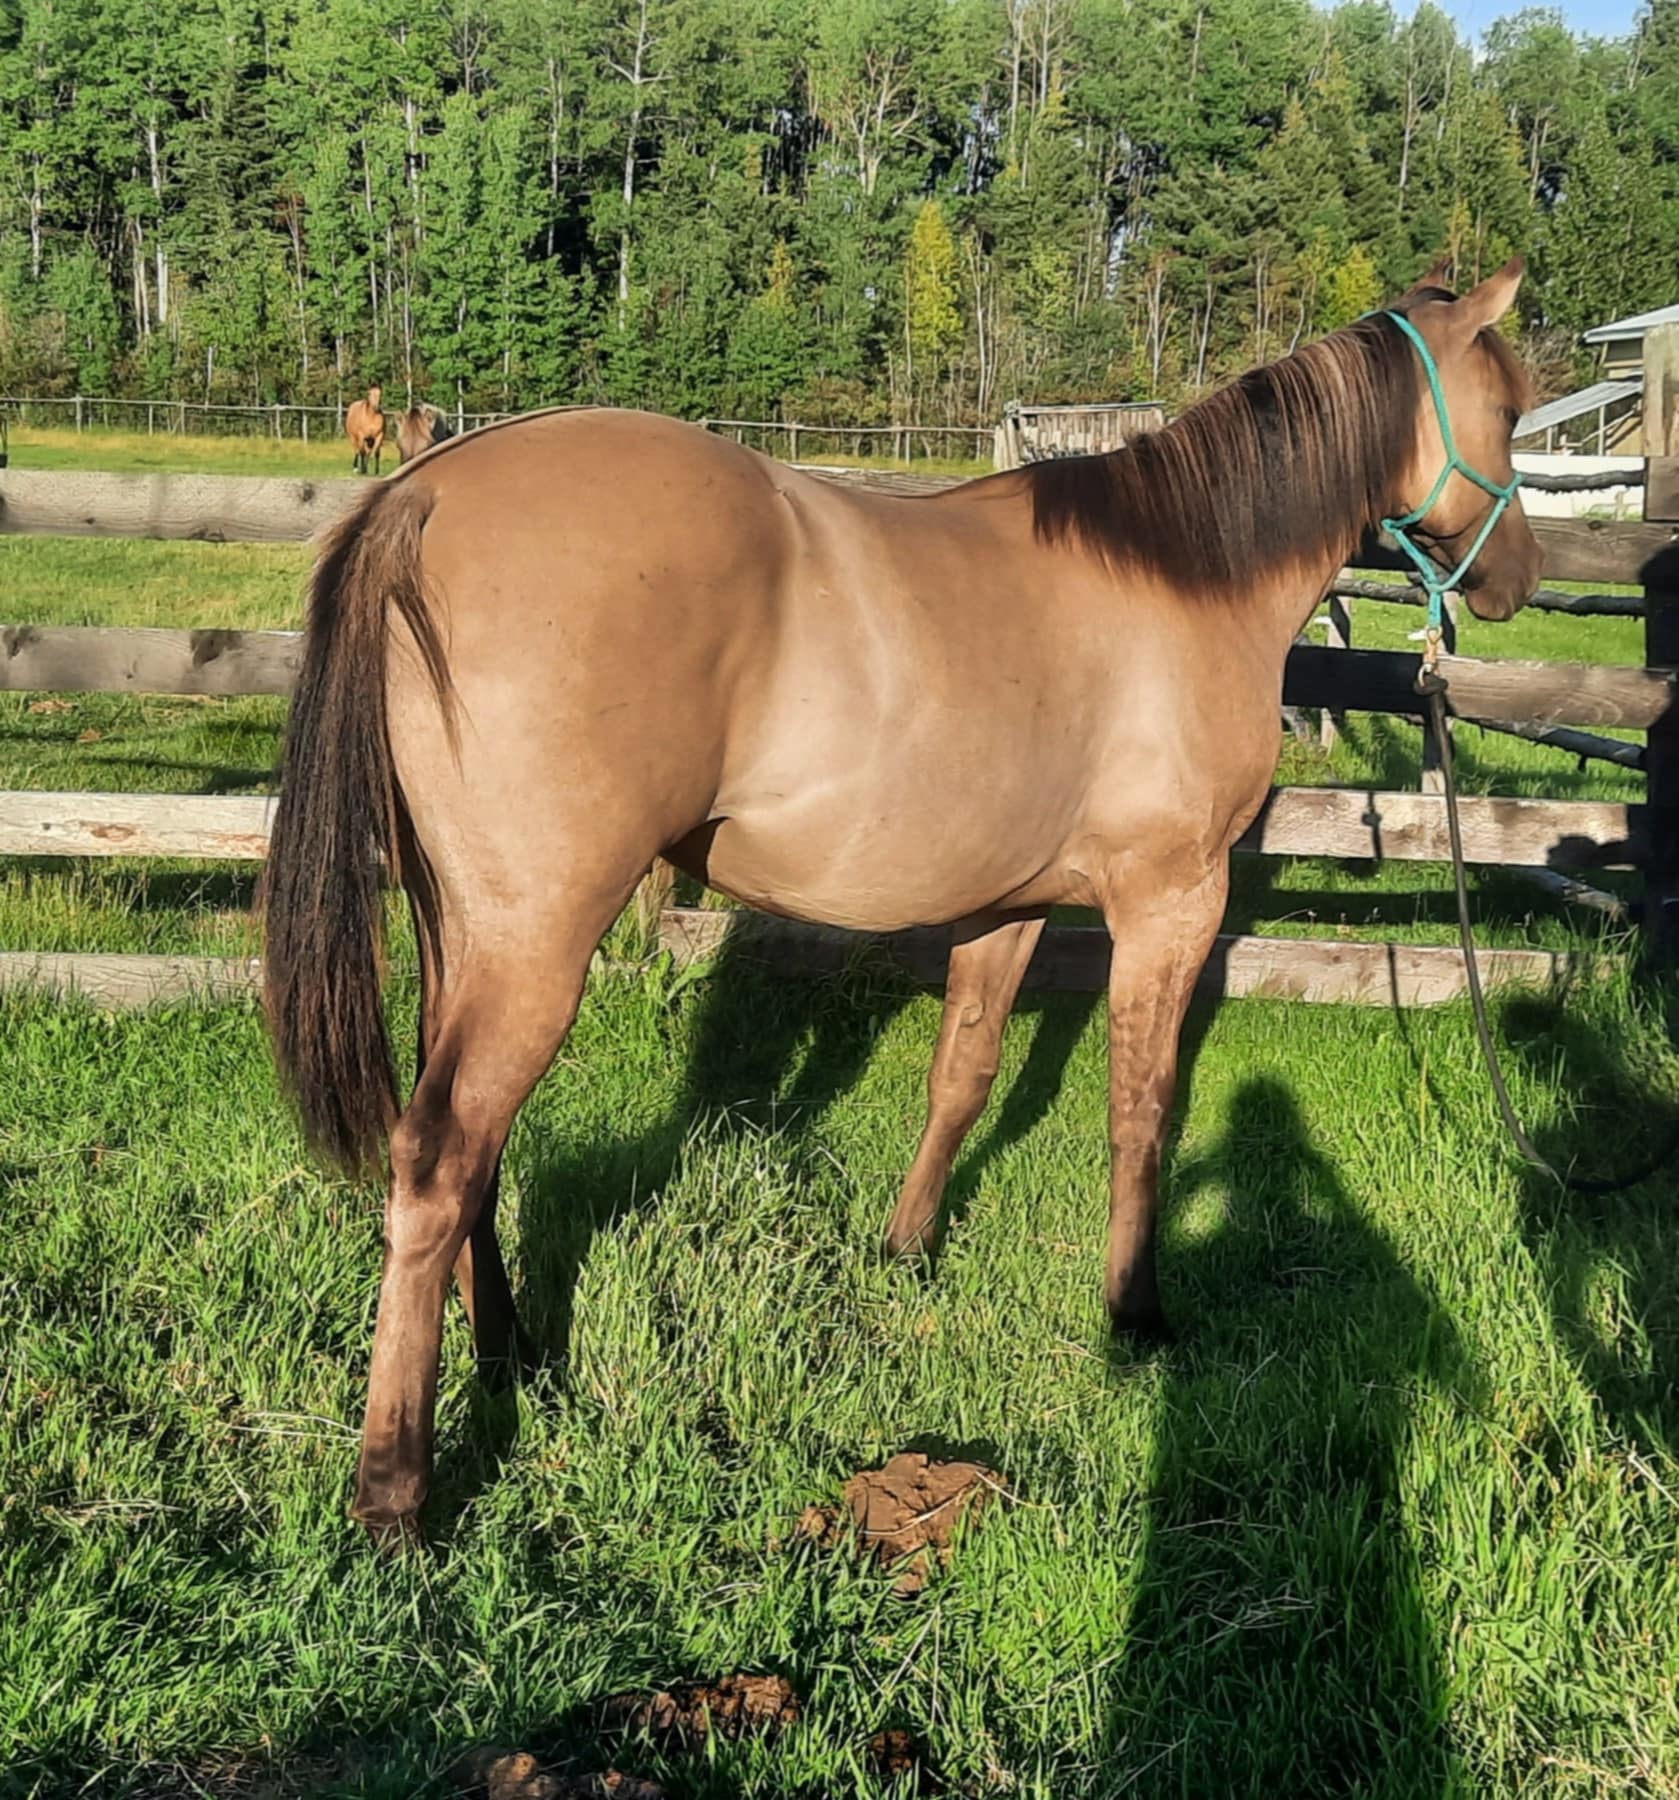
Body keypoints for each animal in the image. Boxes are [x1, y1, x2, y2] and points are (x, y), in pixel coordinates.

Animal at [262, 259, 1541, 1542]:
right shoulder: (1171, 900)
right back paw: (396, 1493)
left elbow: (961, 1076)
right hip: (537, 941)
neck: (1180, 580)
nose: (1516, 578)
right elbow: (1141, 1110)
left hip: (461, 930)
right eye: (1511, 406)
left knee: (469, 1150)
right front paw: (1133, 1313)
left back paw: (509, 1354)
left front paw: (906, 1248)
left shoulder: (1008, 906)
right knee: (439, 1156)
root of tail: (423, 493)